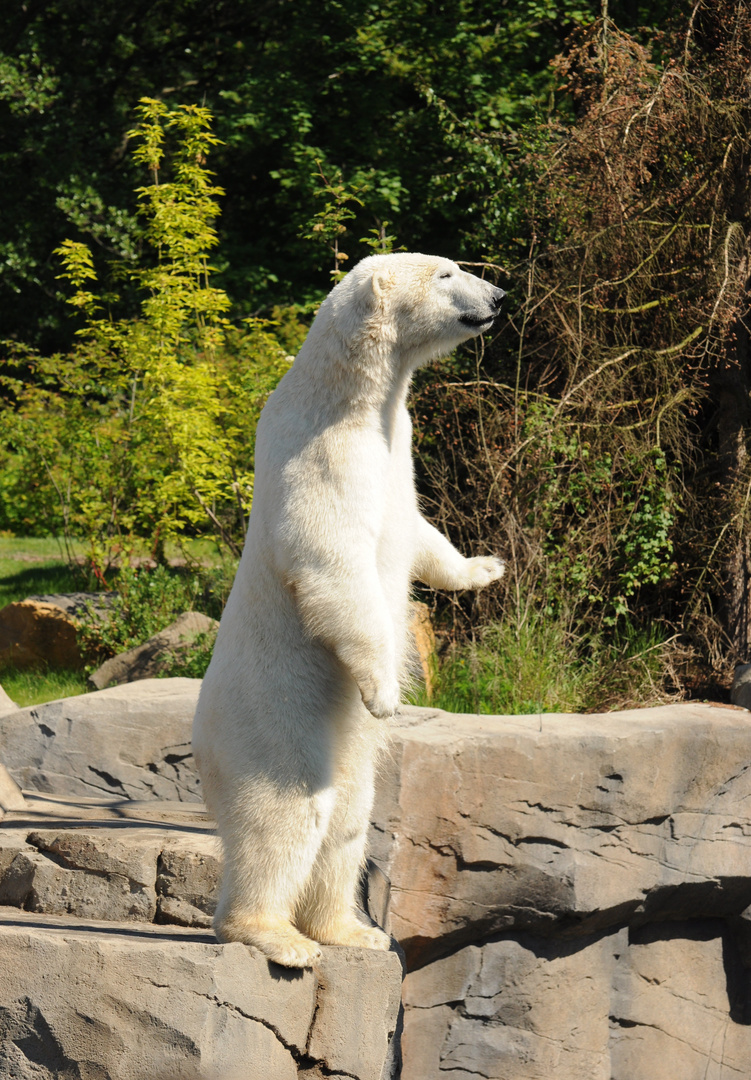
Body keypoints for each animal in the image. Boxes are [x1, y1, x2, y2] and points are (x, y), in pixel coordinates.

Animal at [193, 252, 507, 972]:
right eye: (447, 274)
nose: (500, 297)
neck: (351, 397)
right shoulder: (323, 454)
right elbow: (331, 562)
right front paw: (386, 693)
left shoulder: (398, 446)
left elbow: (418, 530)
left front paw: (485, 568)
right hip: (271, 718)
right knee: (289, 812)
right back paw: (277, 937)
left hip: (335, 744)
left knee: (349, 818)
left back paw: (350, 929)